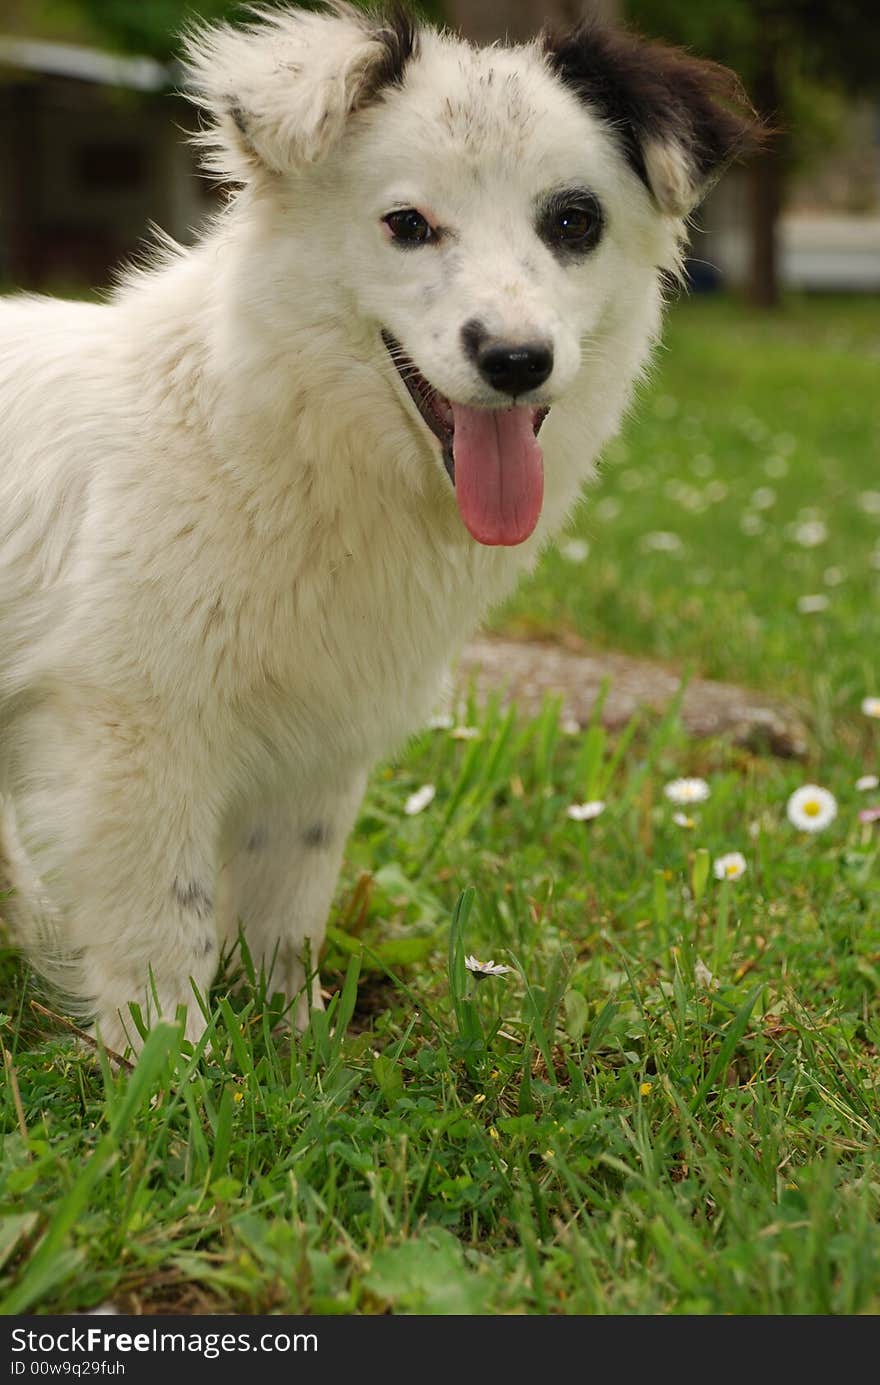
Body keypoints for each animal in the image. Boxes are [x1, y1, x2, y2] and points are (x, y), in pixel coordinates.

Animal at [0, 0, 759, 1041]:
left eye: (574, 222)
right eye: (407, 225)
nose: (516, 360)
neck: (266, 435)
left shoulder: (315, 747)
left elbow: (286, 912)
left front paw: (295, 1041)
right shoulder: (131, 736)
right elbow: (163, 932)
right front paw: (169, 1068)